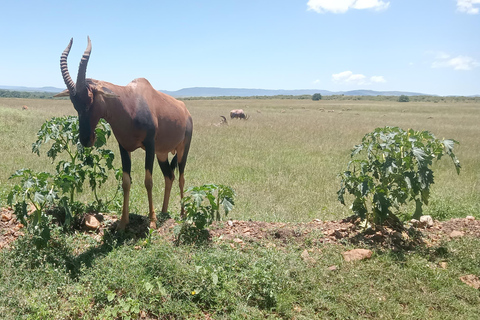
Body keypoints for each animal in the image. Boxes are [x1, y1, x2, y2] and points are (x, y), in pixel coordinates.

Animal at [54, 37, 193, 230]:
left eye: (90, 99)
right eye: (74, 103)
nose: (87, 139)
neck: (131, 101)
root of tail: (186, 111)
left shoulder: (150, 146)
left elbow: (148, 181)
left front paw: (151, 221)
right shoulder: (124, 147)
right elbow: (126, 181)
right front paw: (123, 222)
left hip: (182, 150)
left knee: (181, 177)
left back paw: (182, 213)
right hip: (162, 153)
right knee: (169, 176)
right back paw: (164, 212)